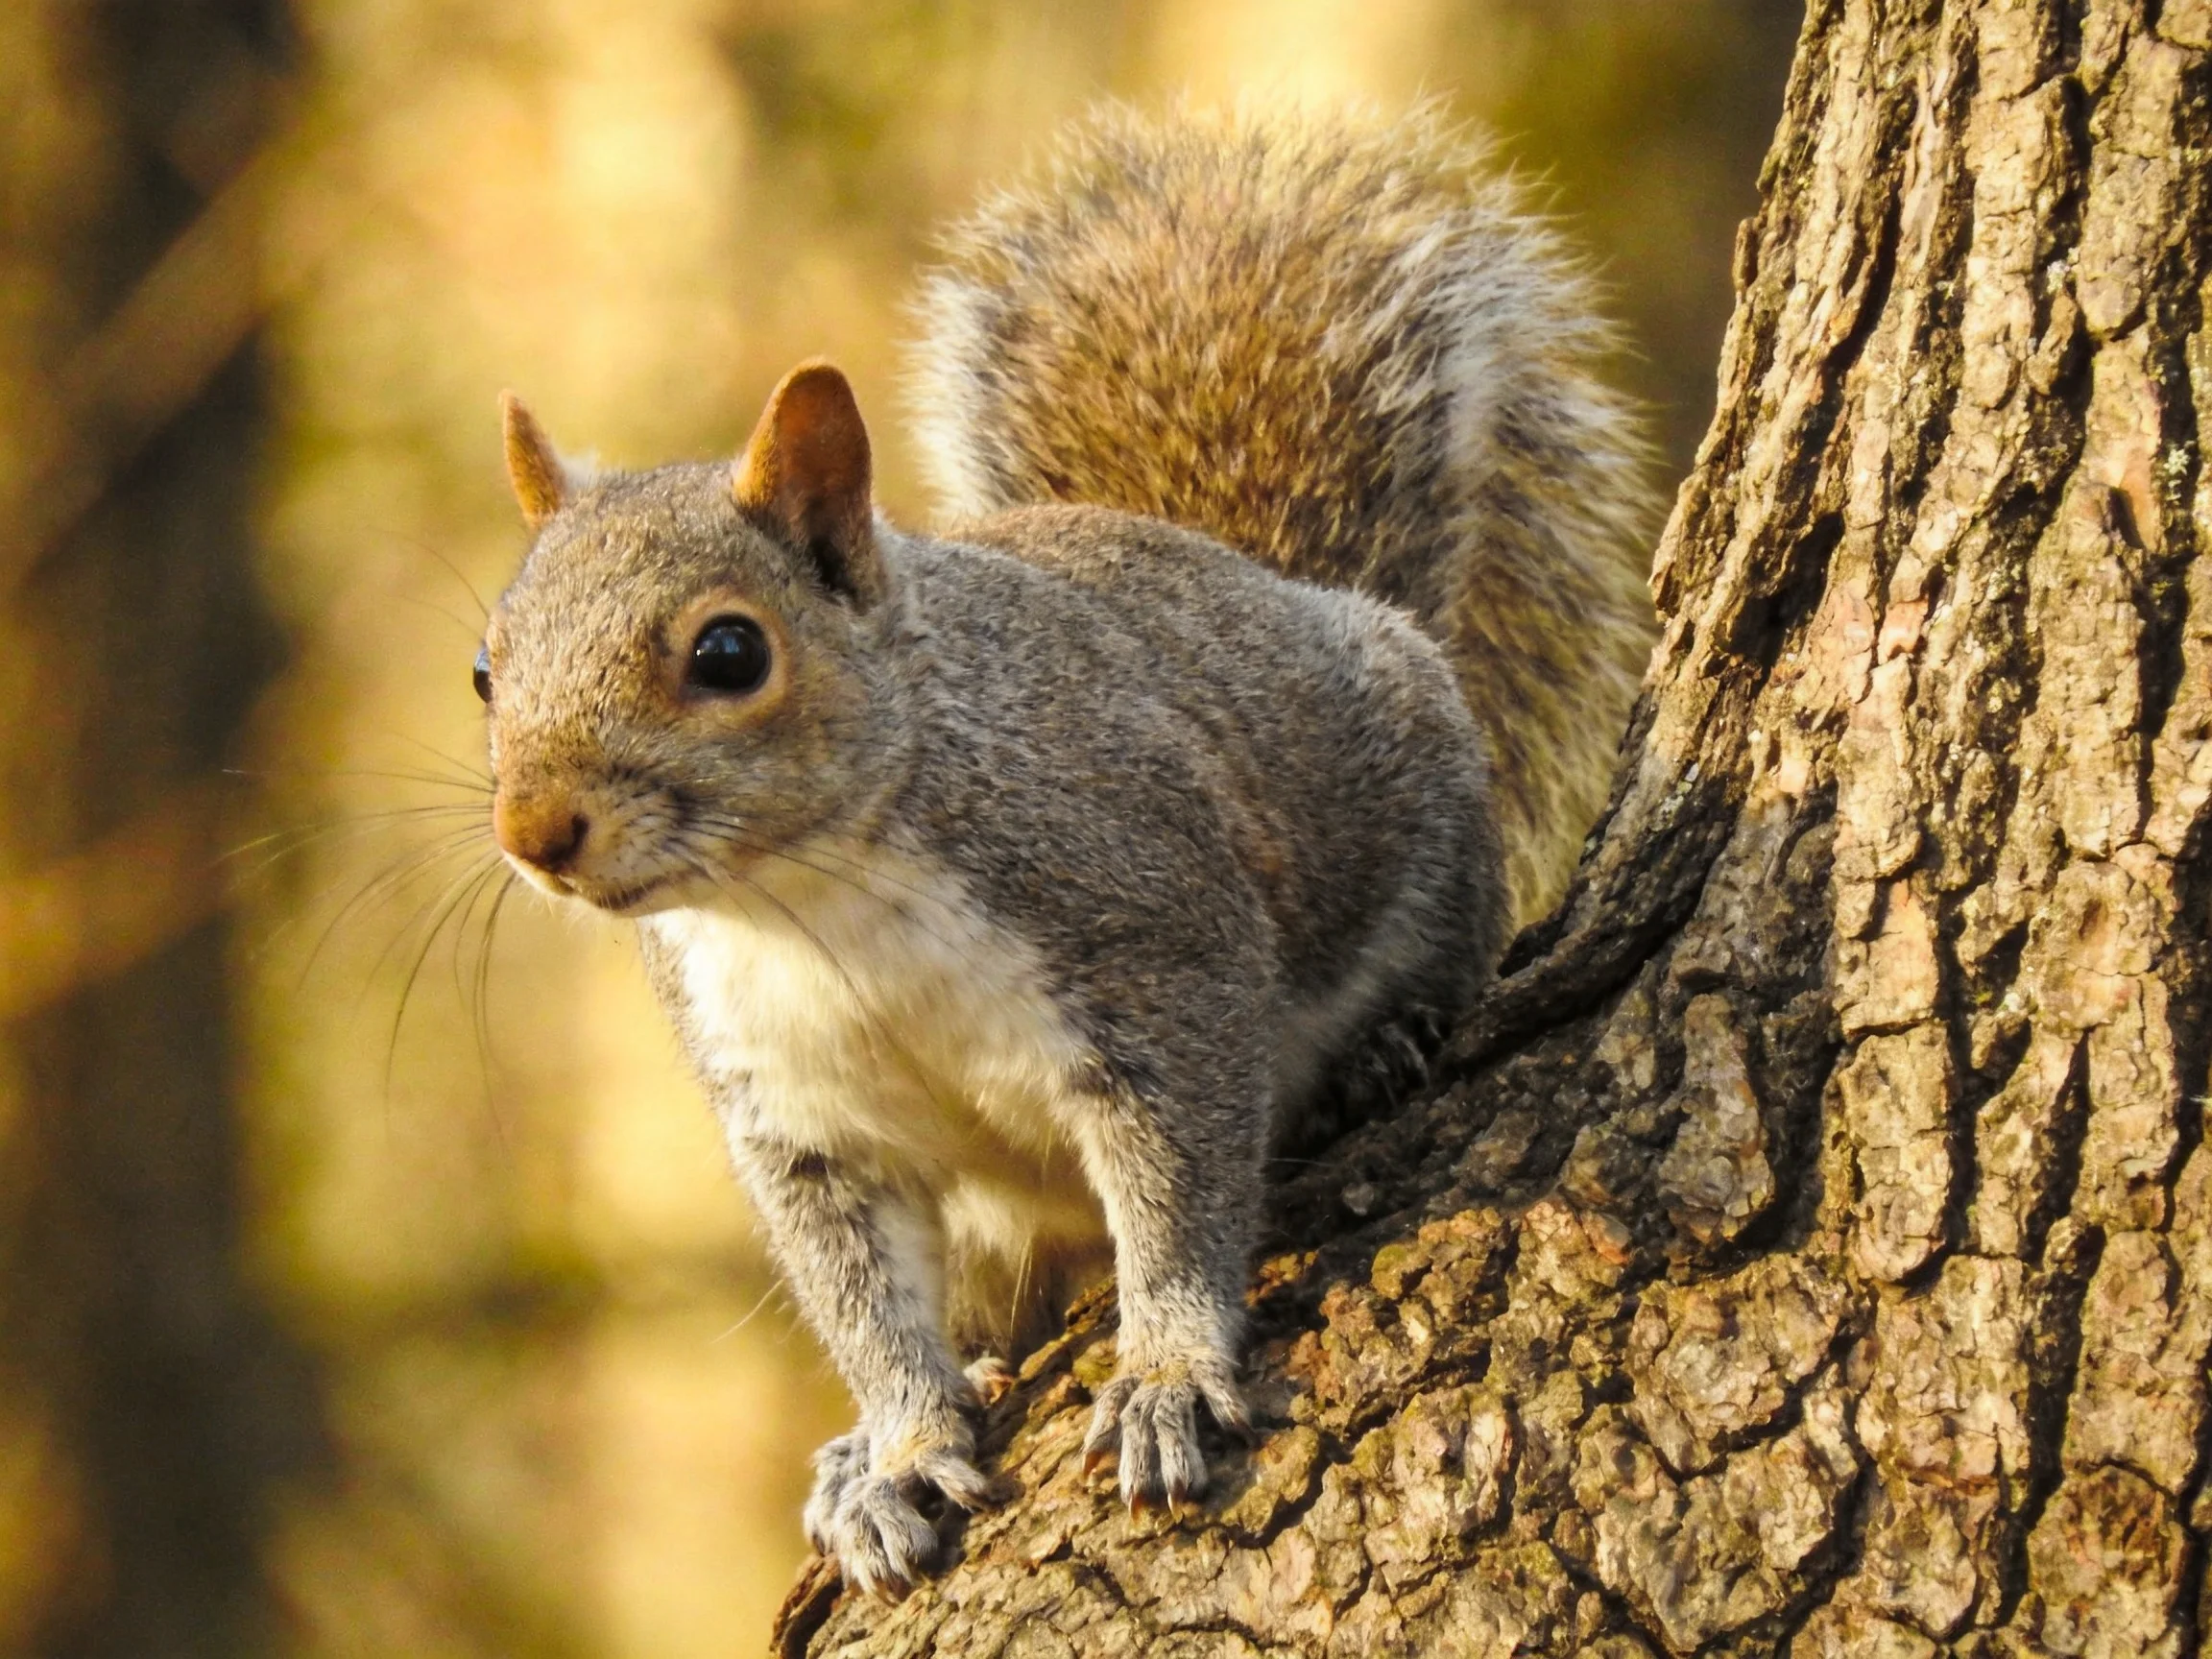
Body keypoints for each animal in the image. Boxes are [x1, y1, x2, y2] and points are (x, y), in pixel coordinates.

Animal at [476, 104, 1653, 1597]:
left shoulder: (1152, 948)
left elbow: (1184, 1188)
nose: (535, 834)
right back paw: (863, 1448)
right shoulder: (795, 1112)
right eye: (484, 669)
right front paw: (904, 1448)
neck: (813, 899)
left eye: (729, 653)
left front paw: (1167, 1375)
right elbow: (865, 1301)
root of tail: (1278, 581)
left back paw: (1386, 1044)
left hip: (1419, 807)